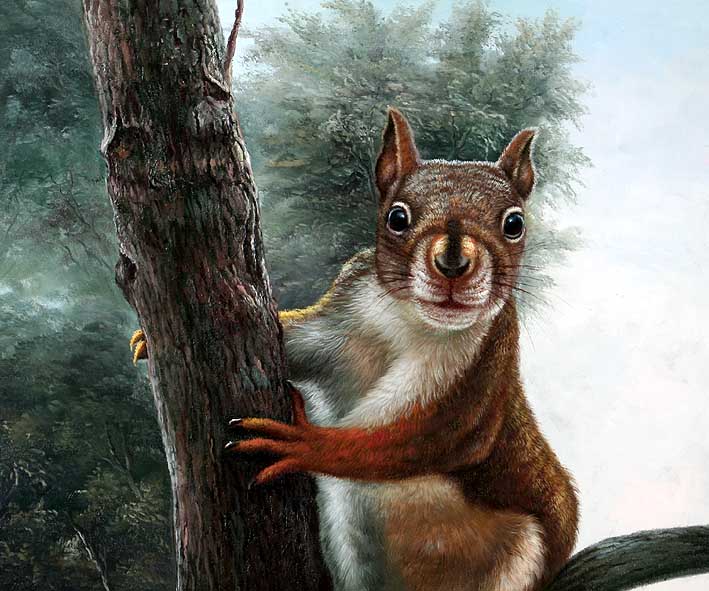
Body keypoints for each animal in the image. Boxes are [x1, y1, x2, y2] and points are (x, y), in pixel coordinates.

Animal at [130, 108, 578, 591]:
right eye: (396, 217)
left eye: (515, 224)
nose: (454, 264)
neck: (406, 320)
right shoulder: (343, 315)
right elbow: (297, 342)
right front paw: (144, 339)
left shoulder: (475, 382)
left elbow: (406, 441)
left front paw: (305, 444)